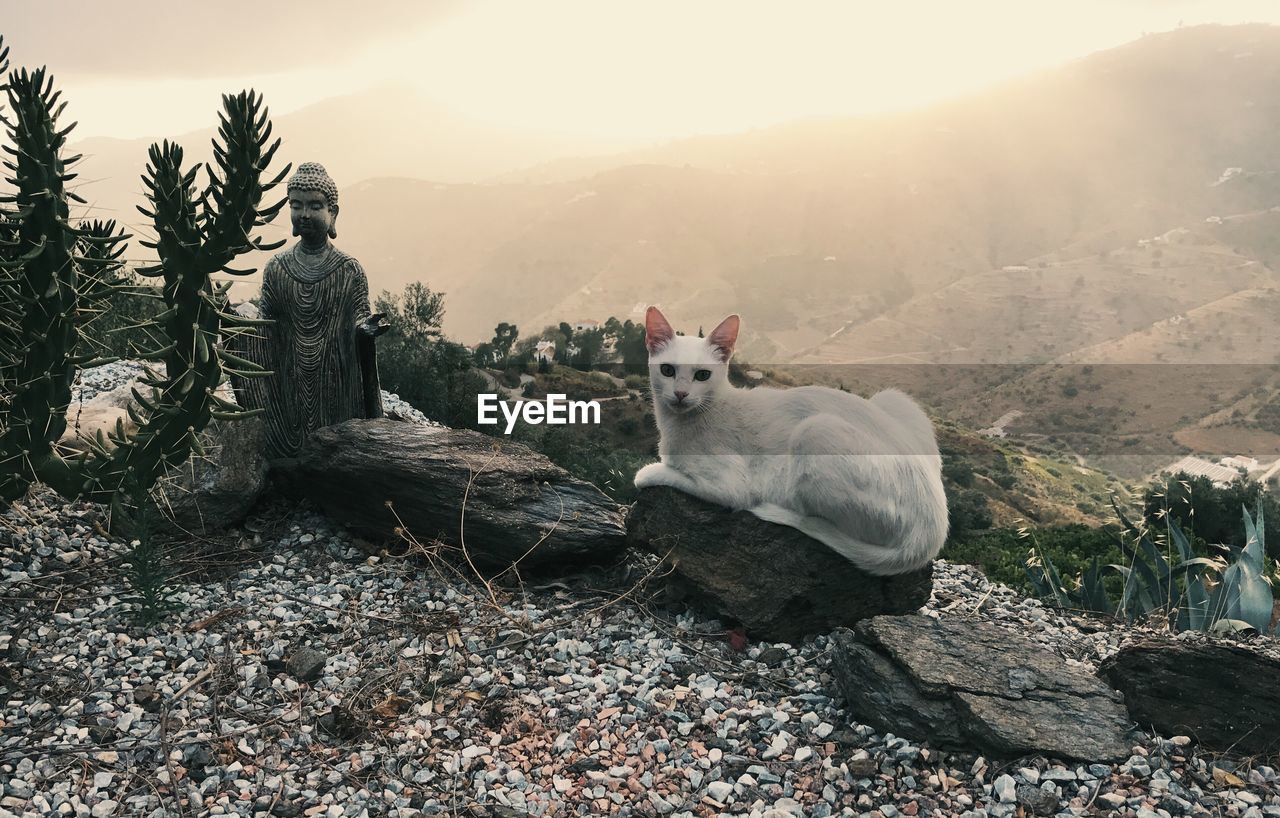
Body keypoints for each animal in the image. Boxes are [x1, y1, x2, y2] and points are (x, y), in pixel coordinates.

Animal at [634, 307, 947, 576]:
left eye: (702, 375)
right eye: (667, 370)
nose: (681, 394)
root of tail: (932, 532)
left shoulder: (729, 487)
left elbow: (661, 473)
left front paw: (649, 472)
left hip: (816, 429)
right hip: (894, 398)